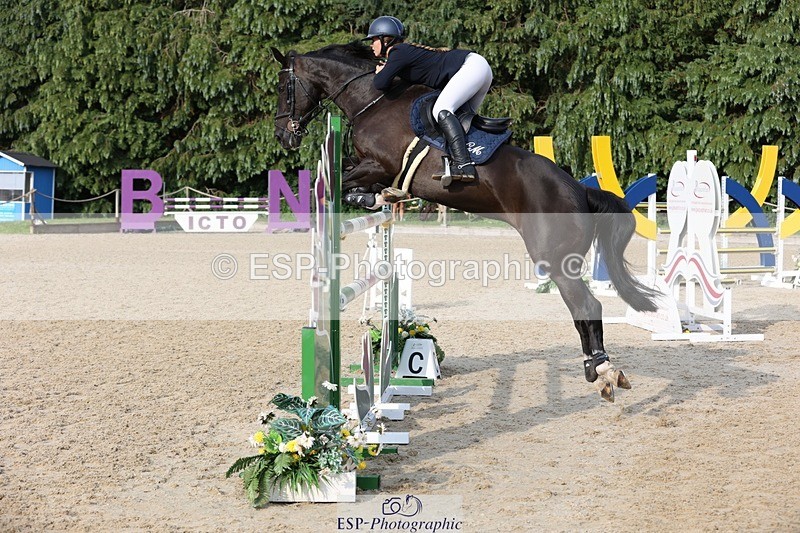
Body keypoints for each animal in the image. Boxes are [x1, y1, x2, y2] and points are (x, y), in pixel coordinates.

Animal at [271, 42, 659, 402]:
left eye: (282, 86)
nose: (283, 136)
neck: (373, 100)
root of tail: (579, 190)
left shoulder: (378, 164)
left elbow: (339, 178)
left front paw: (363, 197)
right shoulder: (370, 166)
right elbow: (354, 179)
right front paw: (377, 199)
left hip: (557, 260)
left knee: (587, 307)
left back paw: (602, 370)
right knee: (584, 309)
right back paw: (600, 370)